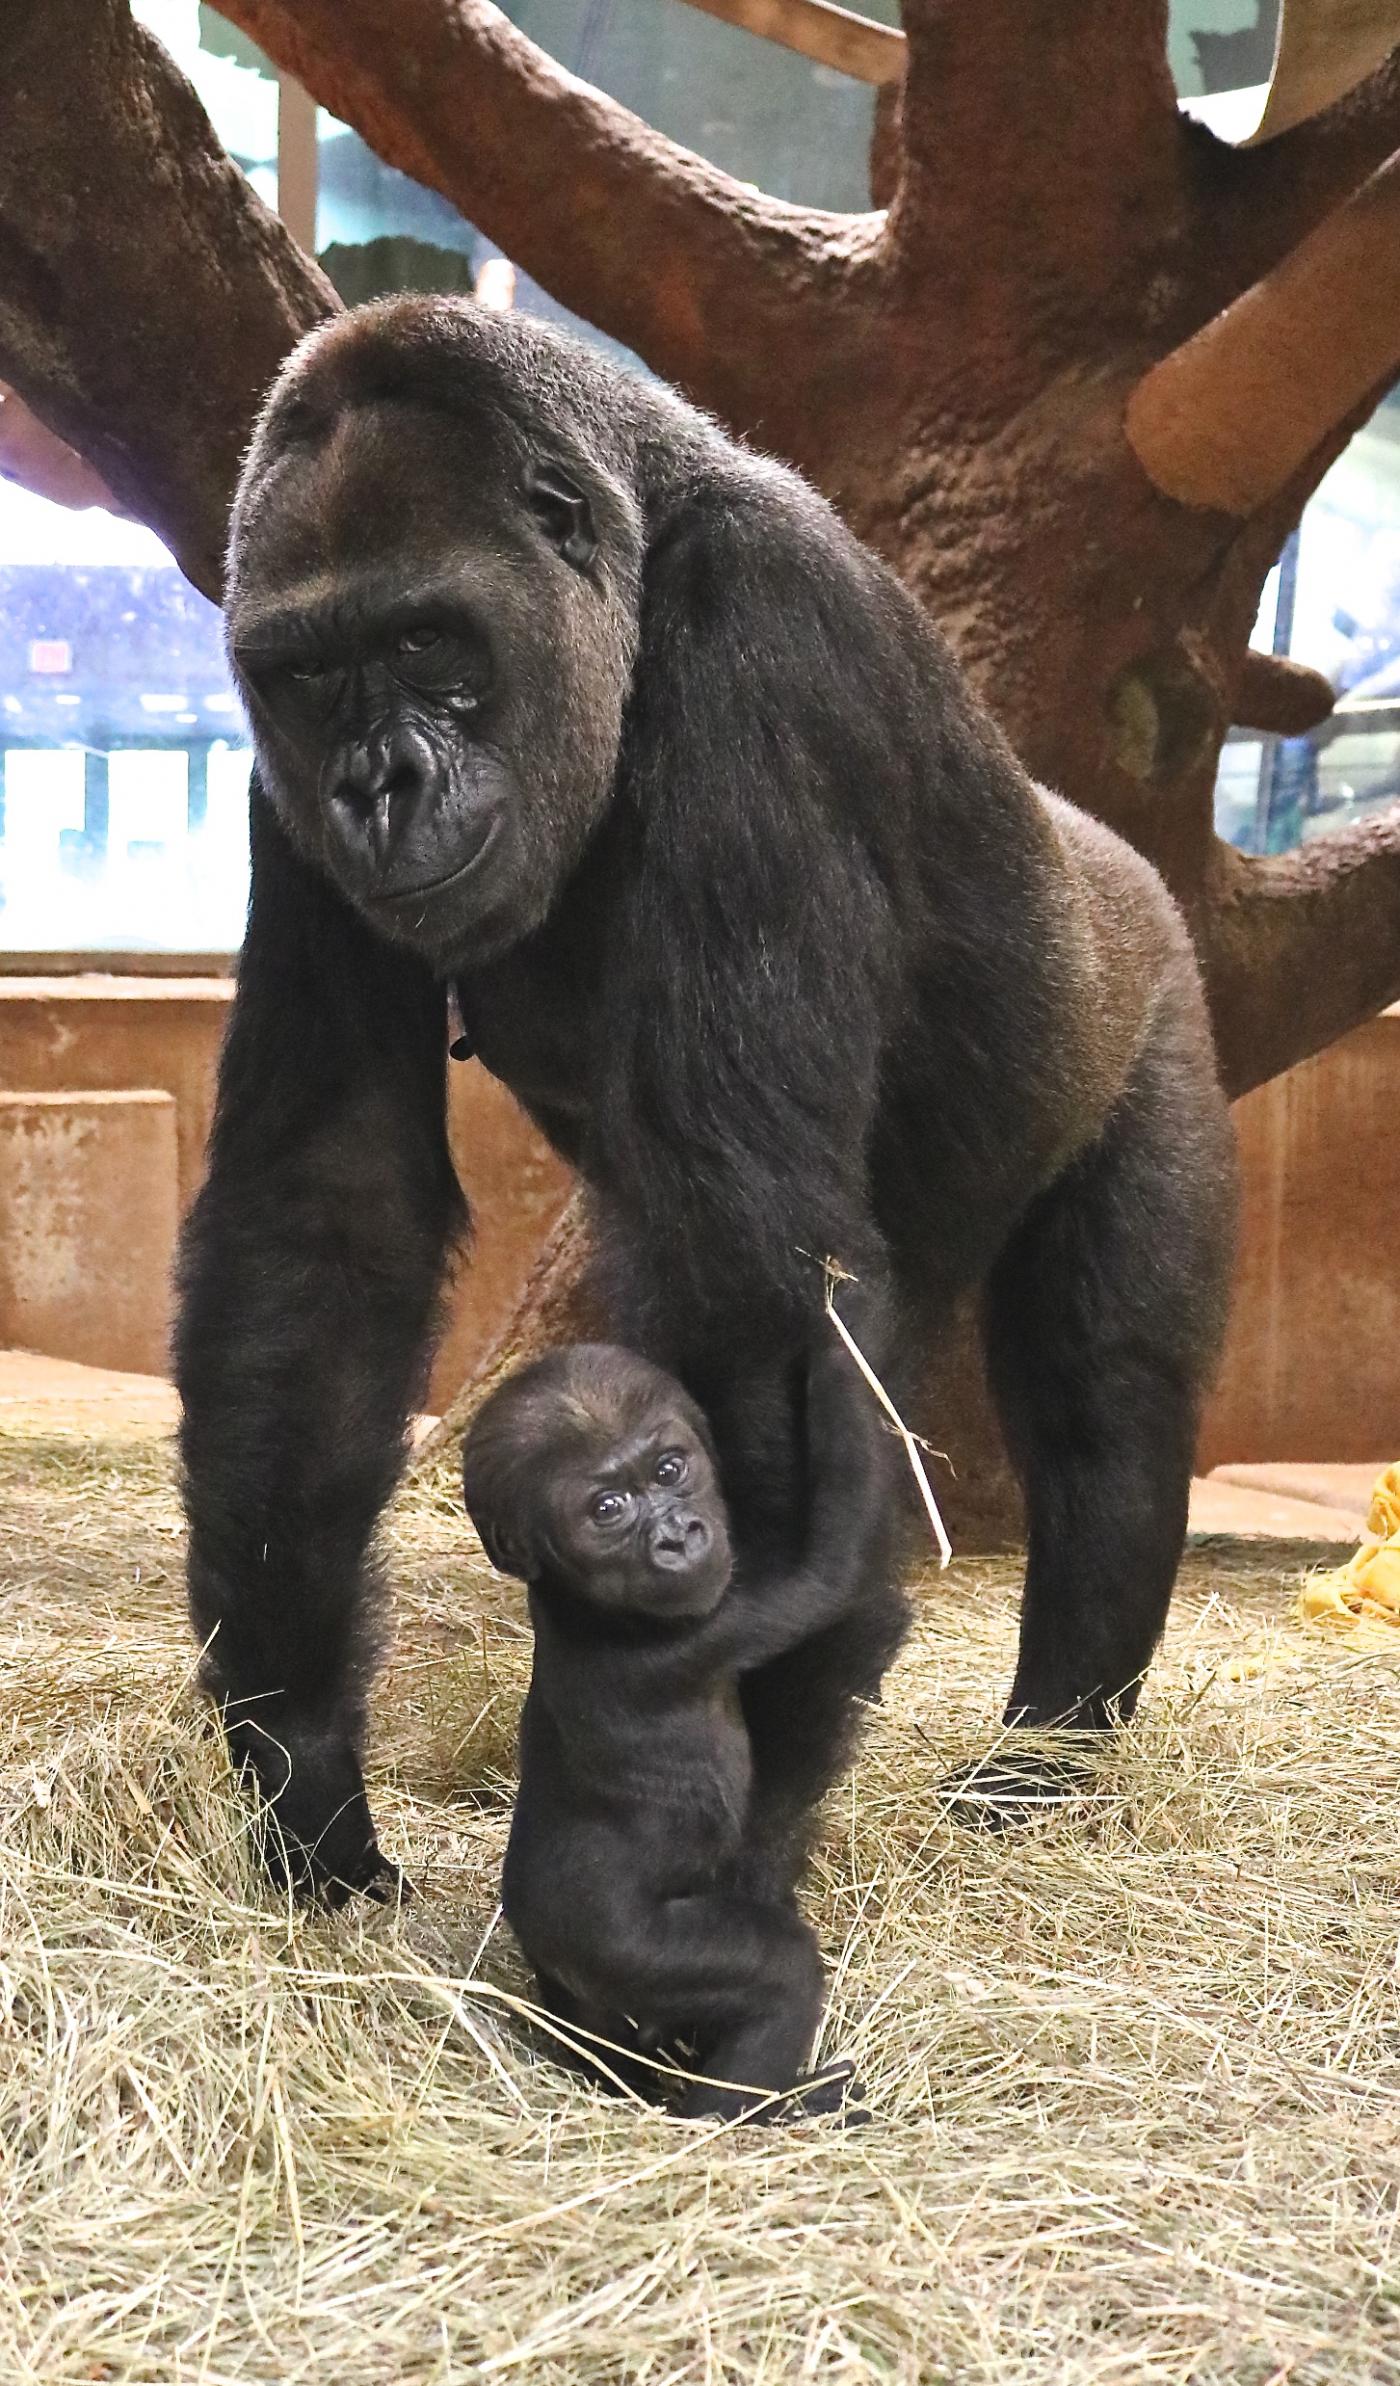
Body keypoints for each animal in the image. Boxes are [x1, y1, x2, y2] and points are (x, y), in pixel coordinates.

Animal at [175, 298, 1240, 1899]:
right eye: (311, 675)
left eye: (427, 641)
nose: (377, 786)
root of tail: (1111, 850)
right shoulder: (273, 778)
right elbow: (329, 1205)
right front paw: (303, 1765)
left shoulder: (765, 633)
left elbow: (762, 1279)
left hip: (1157, 1003)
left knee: (1103, 1400)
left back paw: (1047, 1755)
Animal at [462, 1345, 896, 2128]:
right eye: (607, 1510)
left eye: (669, 1470)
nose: (677, 1535)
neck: (575, 1599)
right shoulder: (711, 1623)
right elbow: (832, 1569)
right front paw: (840, 1378)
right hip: (619, 1948)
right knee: (777, 1973)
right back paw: (752, 2113)